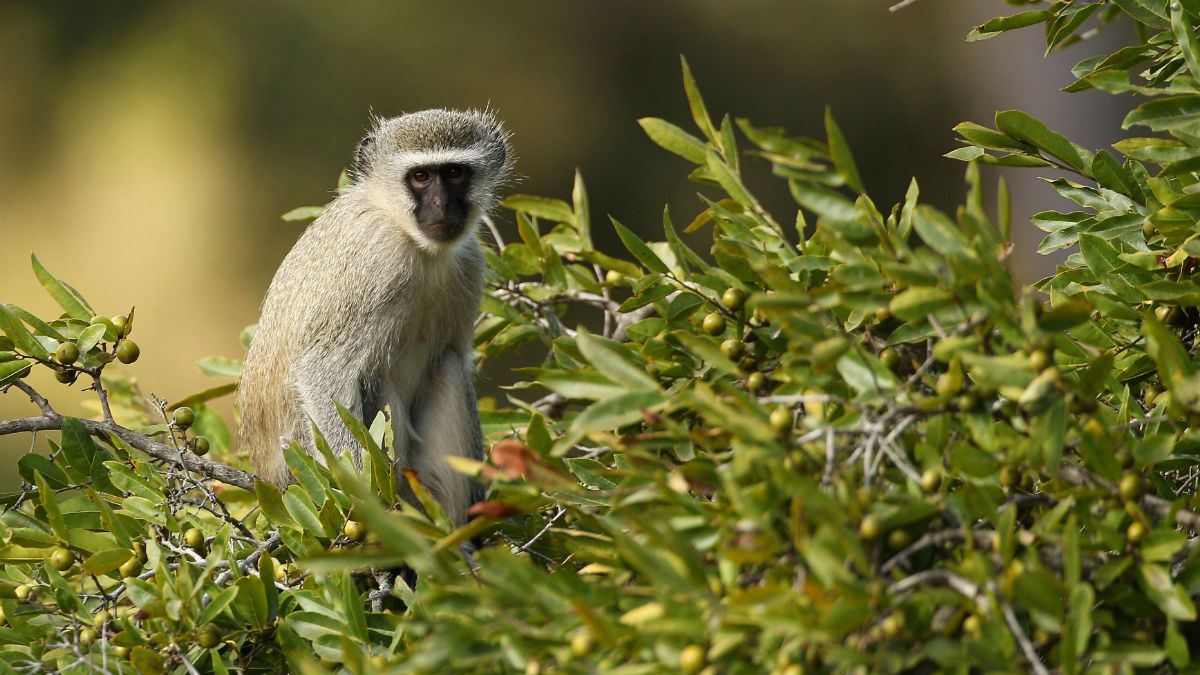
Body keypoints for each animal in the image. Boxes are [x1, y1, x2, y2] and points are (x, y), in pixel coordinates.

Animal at [236, 107, 513, 523]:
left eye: (454, 173)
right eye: (420, 177)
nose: (442, 207)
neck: (417, 246)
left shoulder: (470, 265)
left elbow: (460, 361)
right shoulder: (375, 262)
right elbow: (321, 371)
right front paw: (365, 497)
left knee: (447, 365)